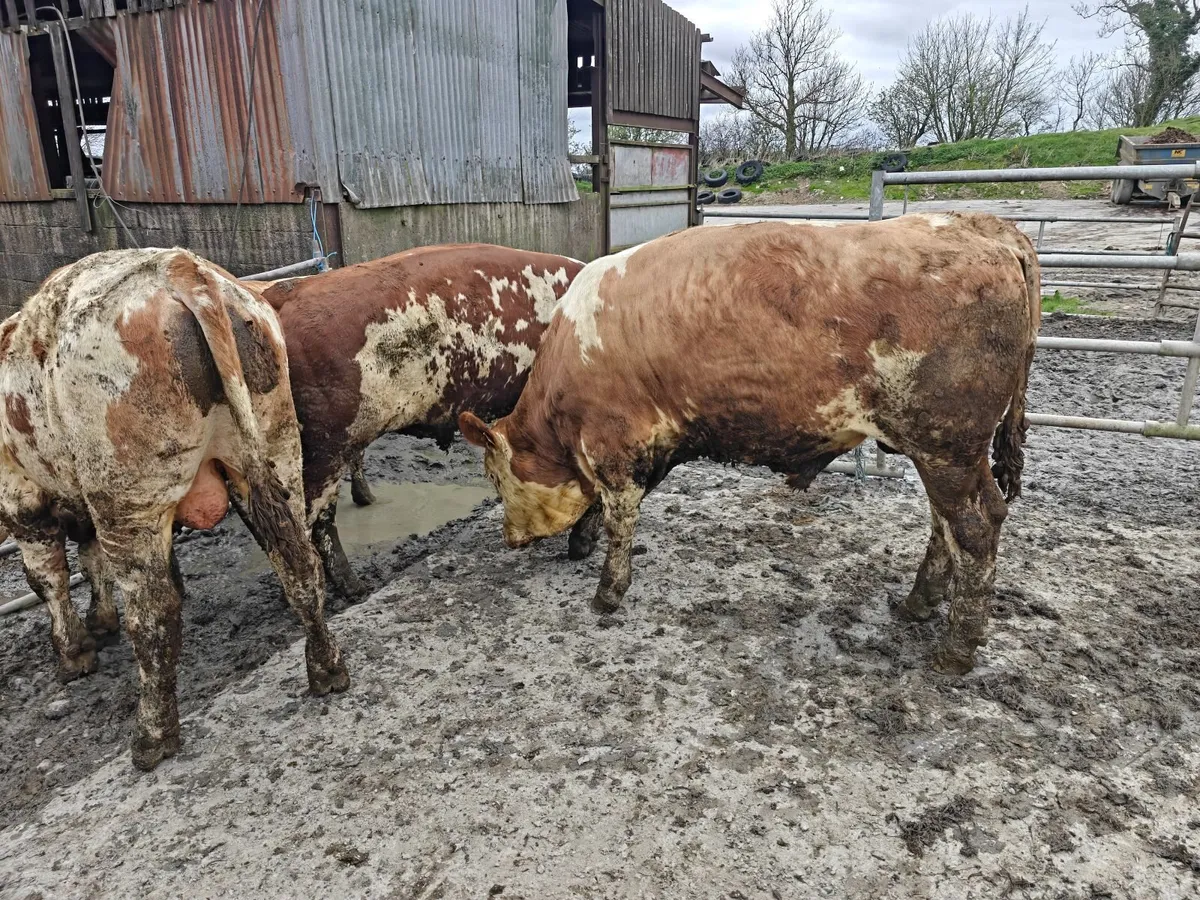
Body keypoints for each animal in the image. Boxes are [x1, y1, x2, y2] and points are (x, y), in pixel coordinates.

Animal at [0, 248, 348, 770]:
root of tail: (181, 270)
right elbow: (90, 561)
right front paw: (100, 622)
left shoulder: (20, 501)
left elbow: (48, 580)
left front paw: (74, 653)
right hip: (276, 450)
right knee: (300, 563)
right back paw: (326, 668)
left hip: (127, 498)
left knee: (154, 613)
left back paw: (152, 735)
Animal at [460, 213, 1040, 675]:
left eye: (495, 478)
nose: (508, 538)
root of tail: (978, 225)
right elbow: (605, 507)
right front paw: (581, 542)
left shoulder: (613, 444)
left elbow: (618, 520)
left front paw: (607, 592)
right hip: (941, 453)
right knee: (944, 527)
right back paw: (919, 602)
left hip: (948, 446)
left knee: (975, 527)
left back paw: (955, 649)